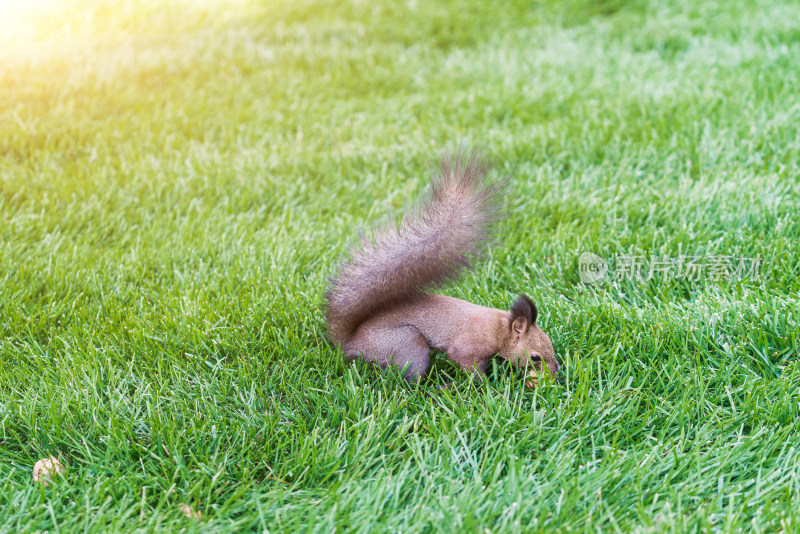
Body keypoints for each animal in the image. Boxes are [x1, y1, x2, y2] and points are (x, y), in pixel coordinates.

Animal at [322, 153, 560, 388]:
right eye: (535, 357)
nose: (555, 373)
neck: (501, 328)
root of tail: (350, 342)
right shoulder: (470, 345)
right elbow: (467, 363)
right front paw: (489, 387)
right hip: (408, 345)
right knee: (411, 383)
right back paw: (436, 389)